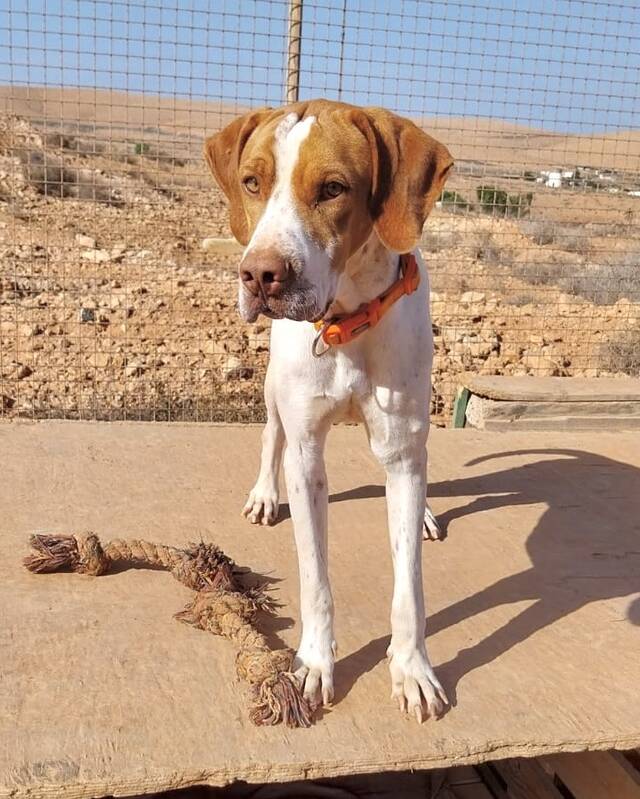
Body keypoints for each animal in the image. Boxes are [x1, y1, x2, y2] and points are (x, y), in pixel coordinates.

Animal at [205, 100, 453, 722]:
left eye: (333, 188)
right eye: (252, 182)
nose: (260, 275)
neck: (346, 323)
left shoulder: (400, 448)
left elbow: (409, 586)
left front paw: (412, 670)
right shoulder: (307, 453)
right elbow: (315, 579)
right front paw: (314, 665)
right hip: (273, 389)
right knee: (270, 437)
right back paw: (264, 494)